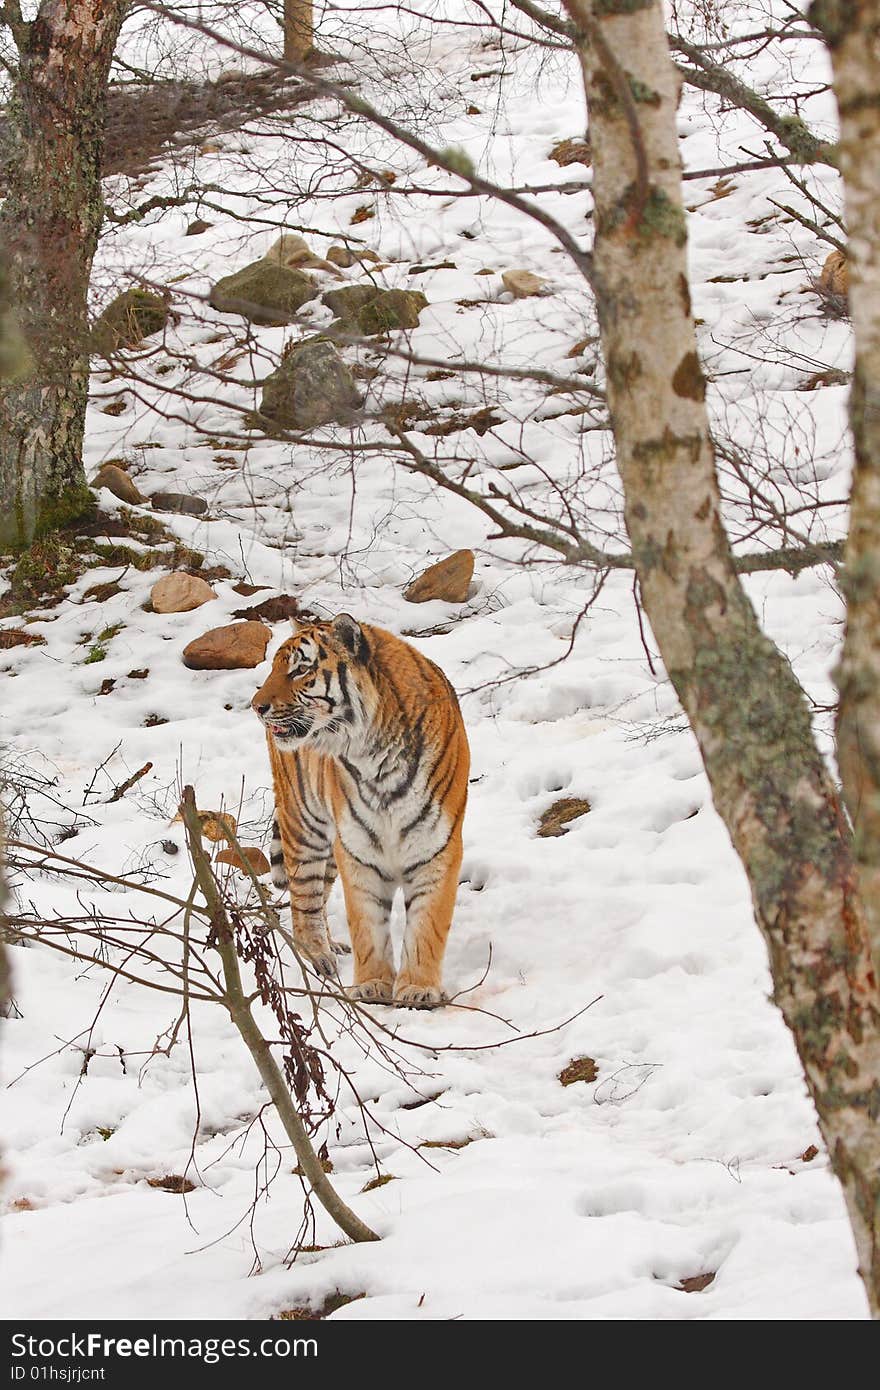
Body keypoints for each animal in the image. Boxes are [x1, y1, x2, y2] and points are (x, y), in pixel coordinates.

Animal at [250, 614, 469, 1006]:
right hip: (305, 823)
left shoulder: (436, 848)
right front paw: (373, 985)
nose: (256, 707)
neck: (374, 756)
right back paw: (317, 958)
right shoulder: (359, 852)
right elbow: (367, 924)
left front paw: (417, 989)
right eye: (274, 668)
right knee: (304, 903)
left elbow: (426, 925)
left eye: (300, 670)